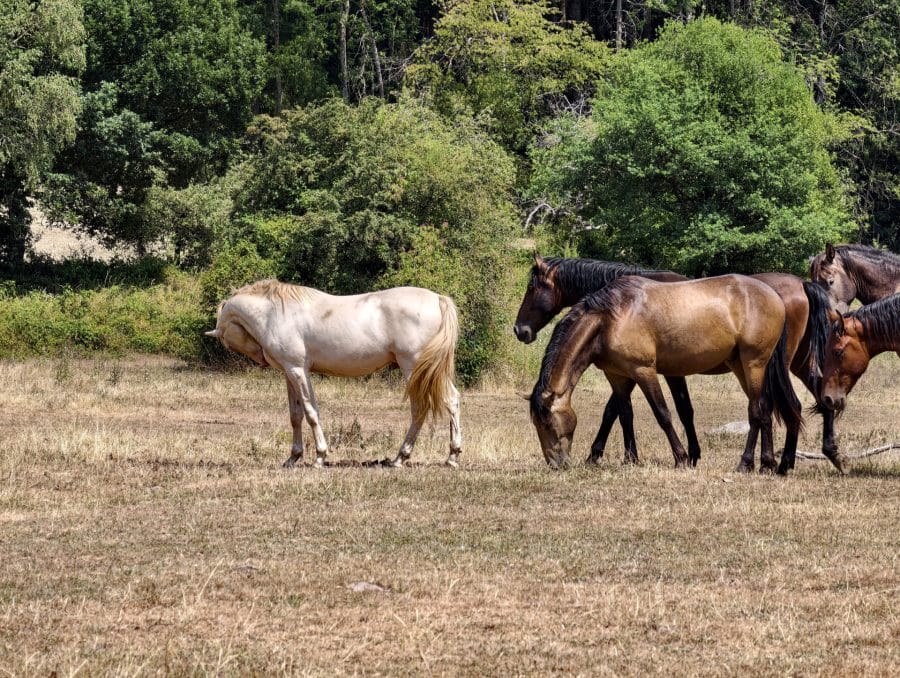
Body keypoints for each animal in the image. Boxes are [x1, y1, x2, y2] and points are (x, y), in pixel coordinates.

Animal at [206, 279, 462, 468]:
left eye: (227, 336)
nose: (261, 359)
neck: (275, 313)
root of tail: (437, 299)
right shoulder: (289, 373)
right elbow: (295, 416)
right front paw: (293, 457)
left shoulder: (298, 371)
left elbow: (311, 412)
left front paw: (320, 456)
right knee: (449, 401)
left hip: (414, 367)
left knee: (427, 406)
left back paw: (417, 457)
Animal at [516, 254, 836, 473]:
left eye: (532, 287)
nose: (521, 330)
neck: (610, 316)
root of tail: (780, 294)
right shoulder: (618, 375)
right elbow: (623, 413)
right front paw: (630, 457)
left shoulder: (646, 371)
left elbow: (664, 413)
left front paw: (682, 457)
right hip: (754, 366)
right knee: (772, 408)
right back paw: (772, 463)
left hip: (758, 363)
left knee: (760, 410)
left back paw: (751, 463)